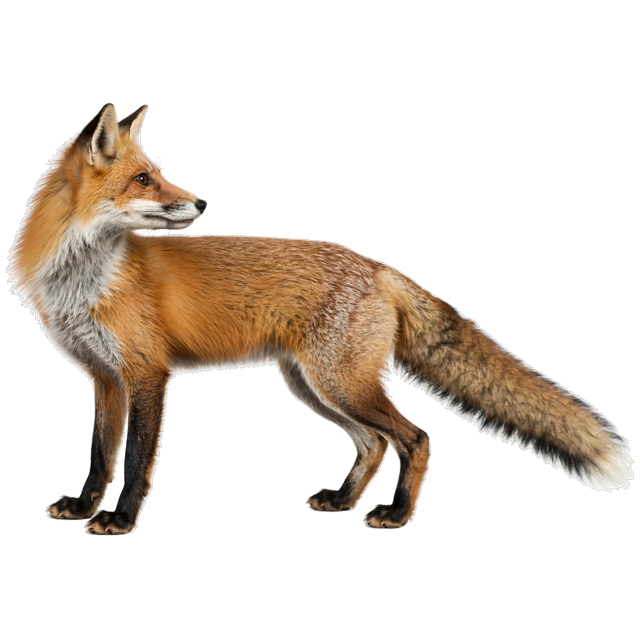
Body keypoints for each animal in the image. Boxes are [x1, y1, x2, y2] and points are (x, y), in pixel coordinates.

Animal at [8, 103, 633, 535]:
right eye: (143, 179)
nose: (204, 203)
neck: (84, 278)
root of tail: (377, 265)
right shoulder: (104, 377)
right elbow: (99, 456)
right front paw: (83, 506)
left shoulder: (146, 374)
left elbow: (136, 461)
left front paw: (120, 521)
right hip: (313, 386)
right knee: (374, 444)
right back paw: (344, 500)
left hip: (339, 383)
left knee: (416, 437)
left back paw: (395, 513)